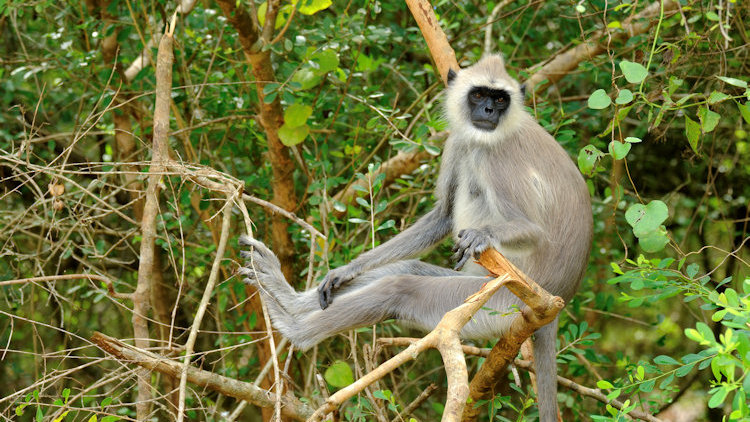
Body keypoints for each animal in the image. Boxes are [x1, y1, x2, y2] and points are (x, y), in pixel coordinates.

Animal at [239, 54, 592, 421]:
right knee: (404, 269)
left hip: (499, 303)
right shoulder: (459, 139)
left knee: (401, 287)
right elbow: (444, 215)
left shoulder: (497, 156)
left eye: (499, 99)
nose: (488, 112)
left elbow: (534, 232)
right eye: (480, 95)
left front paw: (480, 236)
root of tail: (554, 300)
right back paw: (287, 298)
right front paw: (344, 271)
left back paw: (292, 328)